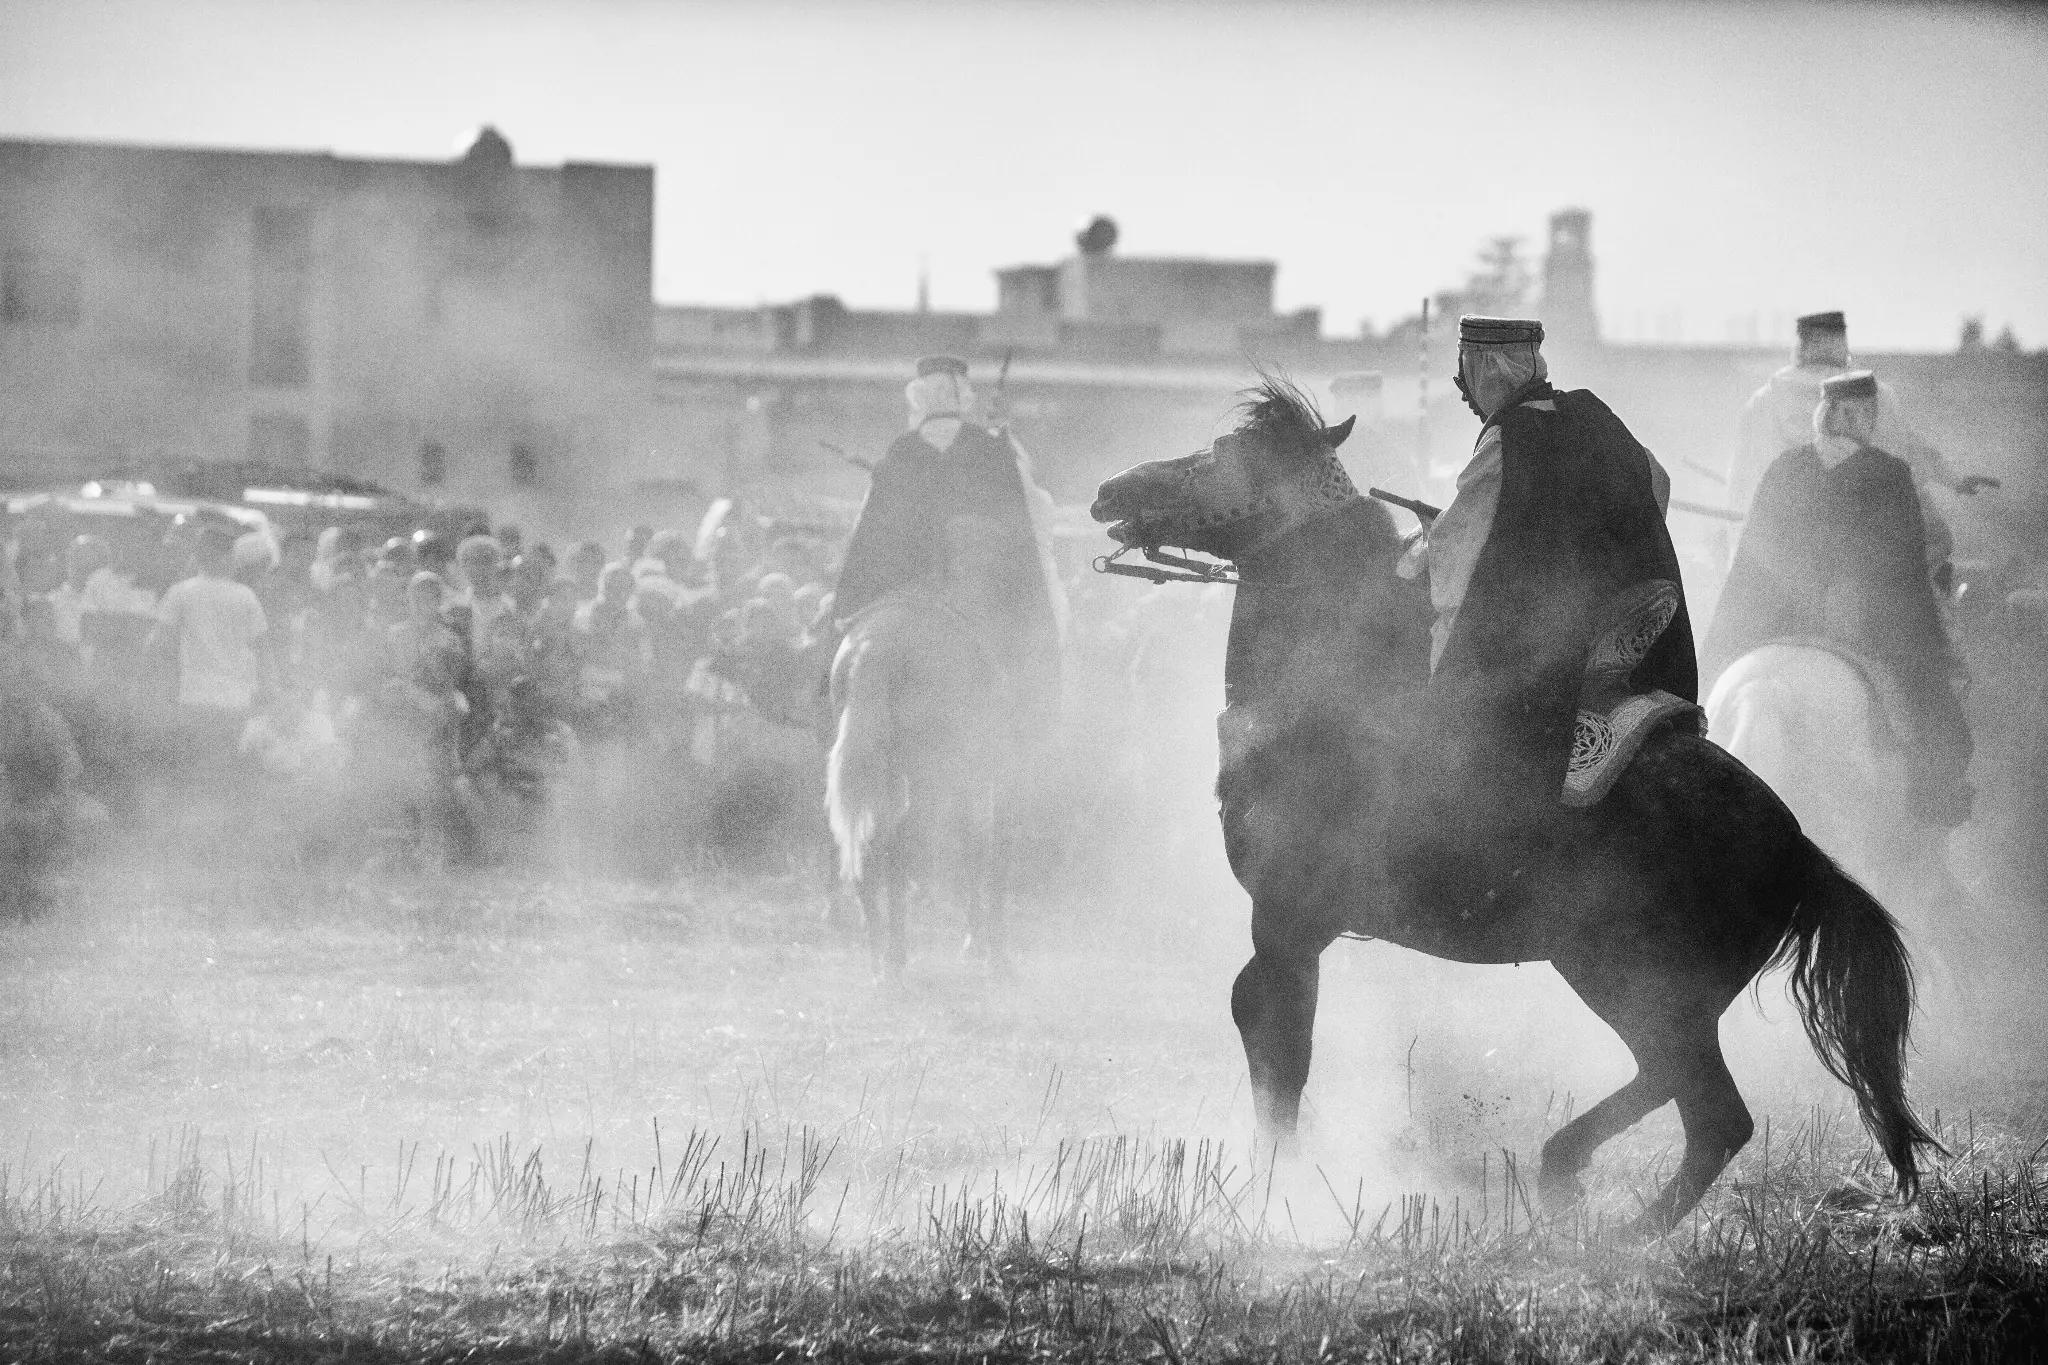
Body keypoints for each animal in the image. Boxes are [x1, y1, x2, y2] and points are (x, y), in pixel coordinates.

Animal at [824, 589, 1011, 978]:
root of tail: (872, 646)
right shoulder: (992, 777)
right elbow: (986, 849)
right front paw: (993, 954)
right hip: (929, 781)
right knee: (902, 844)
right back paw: (895, 958)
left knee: (871, 846)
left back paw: (880, 959)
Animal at [1088, 377, 1937, 1232]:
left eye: (1226, 454)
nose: (1111, 490)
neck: (1334, 684)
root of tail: (1801, 846)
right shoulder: (1292, 928)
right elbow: (1259, 1025)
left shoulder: (1289, 922)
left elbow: (1278, 1045)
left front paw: (1275, 1193)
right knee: (1686, 1093)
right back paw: (1572, 1178)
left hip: (1629, 978)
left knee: (1710, 1109)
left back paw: (1603, 1217)